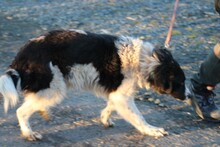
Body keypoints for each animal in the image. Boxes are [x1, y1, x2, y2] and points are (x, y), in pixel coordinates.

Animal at [0, 29, 186, 141]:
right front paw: (152, 130)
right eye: (181, 82)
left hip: (49, 89)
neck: (144, 60)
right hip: (54, 89)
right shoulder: (122, 96)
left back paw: (41, 112)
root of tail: (23, 53)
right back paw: (28, 133)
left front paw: (104, 119)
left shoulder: (118, 95)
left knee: (32, 104)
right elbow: (139, 117)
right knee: (21, 111)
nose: (188, 96)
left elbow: (110, 107)